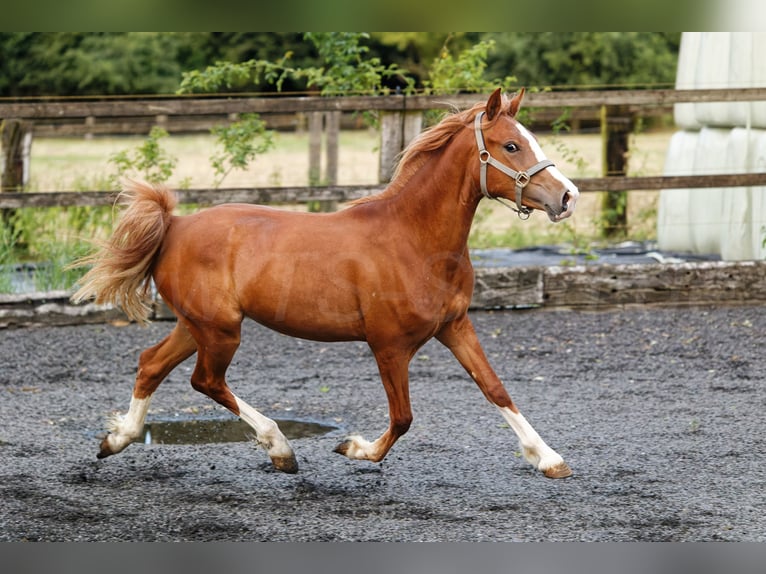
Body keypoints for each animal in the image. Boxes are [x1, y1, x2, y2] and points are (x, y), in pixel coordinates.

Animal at [75, 88, 584, 480]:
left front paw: (549, 460)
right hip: (220, 330)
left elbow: (495, 388)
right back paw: (280, 449)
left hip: (196, 324)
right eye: (511, 146)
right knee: (206, 380)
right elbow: (403, 418)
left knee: (151, 364)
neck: (414, 239)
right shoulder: (389, 345)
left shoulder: (455, 325)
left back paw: (116, 439)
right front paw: (354, 448)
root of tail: (174, 226)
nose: (568, 197)